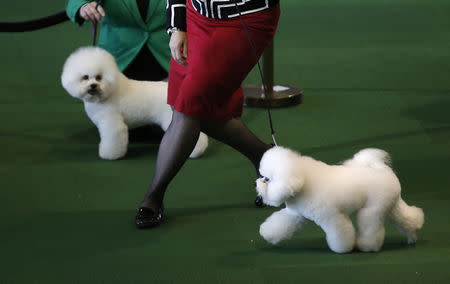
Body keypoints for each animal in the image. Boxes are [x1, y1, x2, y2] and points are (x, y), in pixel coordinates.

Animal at [60, 46, 208, 160]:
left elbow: (112, 138)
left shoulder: (112, 123)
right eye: (85, 77)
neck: (108, 92)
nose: (93, 86)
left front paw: (110, 155)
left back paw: (195, 152)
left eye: (99, 77)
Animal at [256, 146, 426, 253]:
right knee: (407, 218)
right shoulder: (295, 215)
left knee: (371, 227)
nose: (256, 182)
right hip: (391, 205)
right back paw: (412, 236)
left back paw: (367, 246)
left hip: (373, 209)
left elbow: (340, 232)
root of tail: (382, 169)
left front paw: (342, 248)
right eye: (262, 176)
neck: (302, 181)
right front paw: (267, 233)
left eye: (267, 179)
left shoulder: (332, 217)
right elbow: (280, 224)